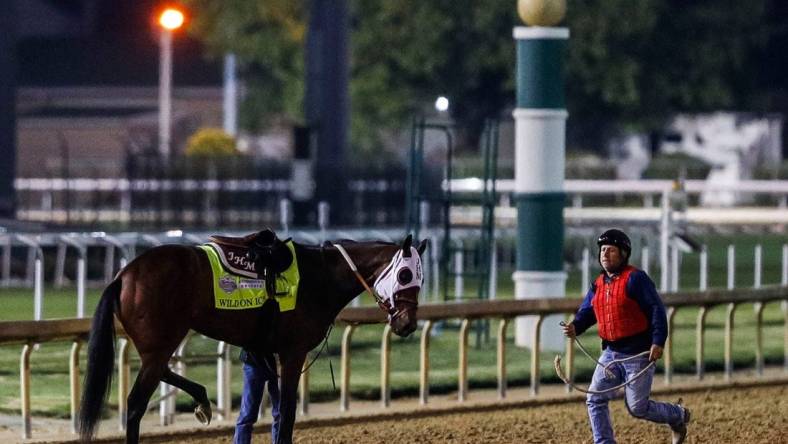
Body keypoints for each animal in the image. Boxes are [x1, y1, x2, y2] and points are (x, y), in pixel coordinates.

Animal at [77, 232, 428, 444]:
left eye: (420, 279)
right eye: (405, 274)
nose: (407, 324)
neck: (321, 276)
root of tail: (124, 275)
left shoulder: (267, 351)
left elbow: (276, 411)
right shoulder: (293, 351)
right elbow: (287, 412)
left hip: (157, 344)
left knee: (161, 371)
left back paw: (202, 400)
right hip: (160, 343)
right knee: (135, 405)